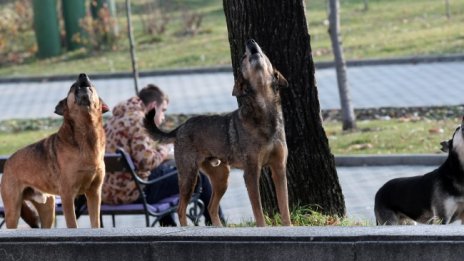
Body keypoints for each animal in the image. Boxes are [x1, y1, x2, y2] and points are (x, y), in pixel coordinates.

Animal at [1, 73, 108, 228]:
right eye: (72, 87)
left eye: (92, 85)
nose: (83, 75)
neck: (87, 134)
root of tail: (7, 162)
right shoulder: (67, 195)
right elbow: (72, 224)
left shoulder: (94, 193)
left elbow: (95, 223)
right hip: (13, 211)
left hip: (48, 210)